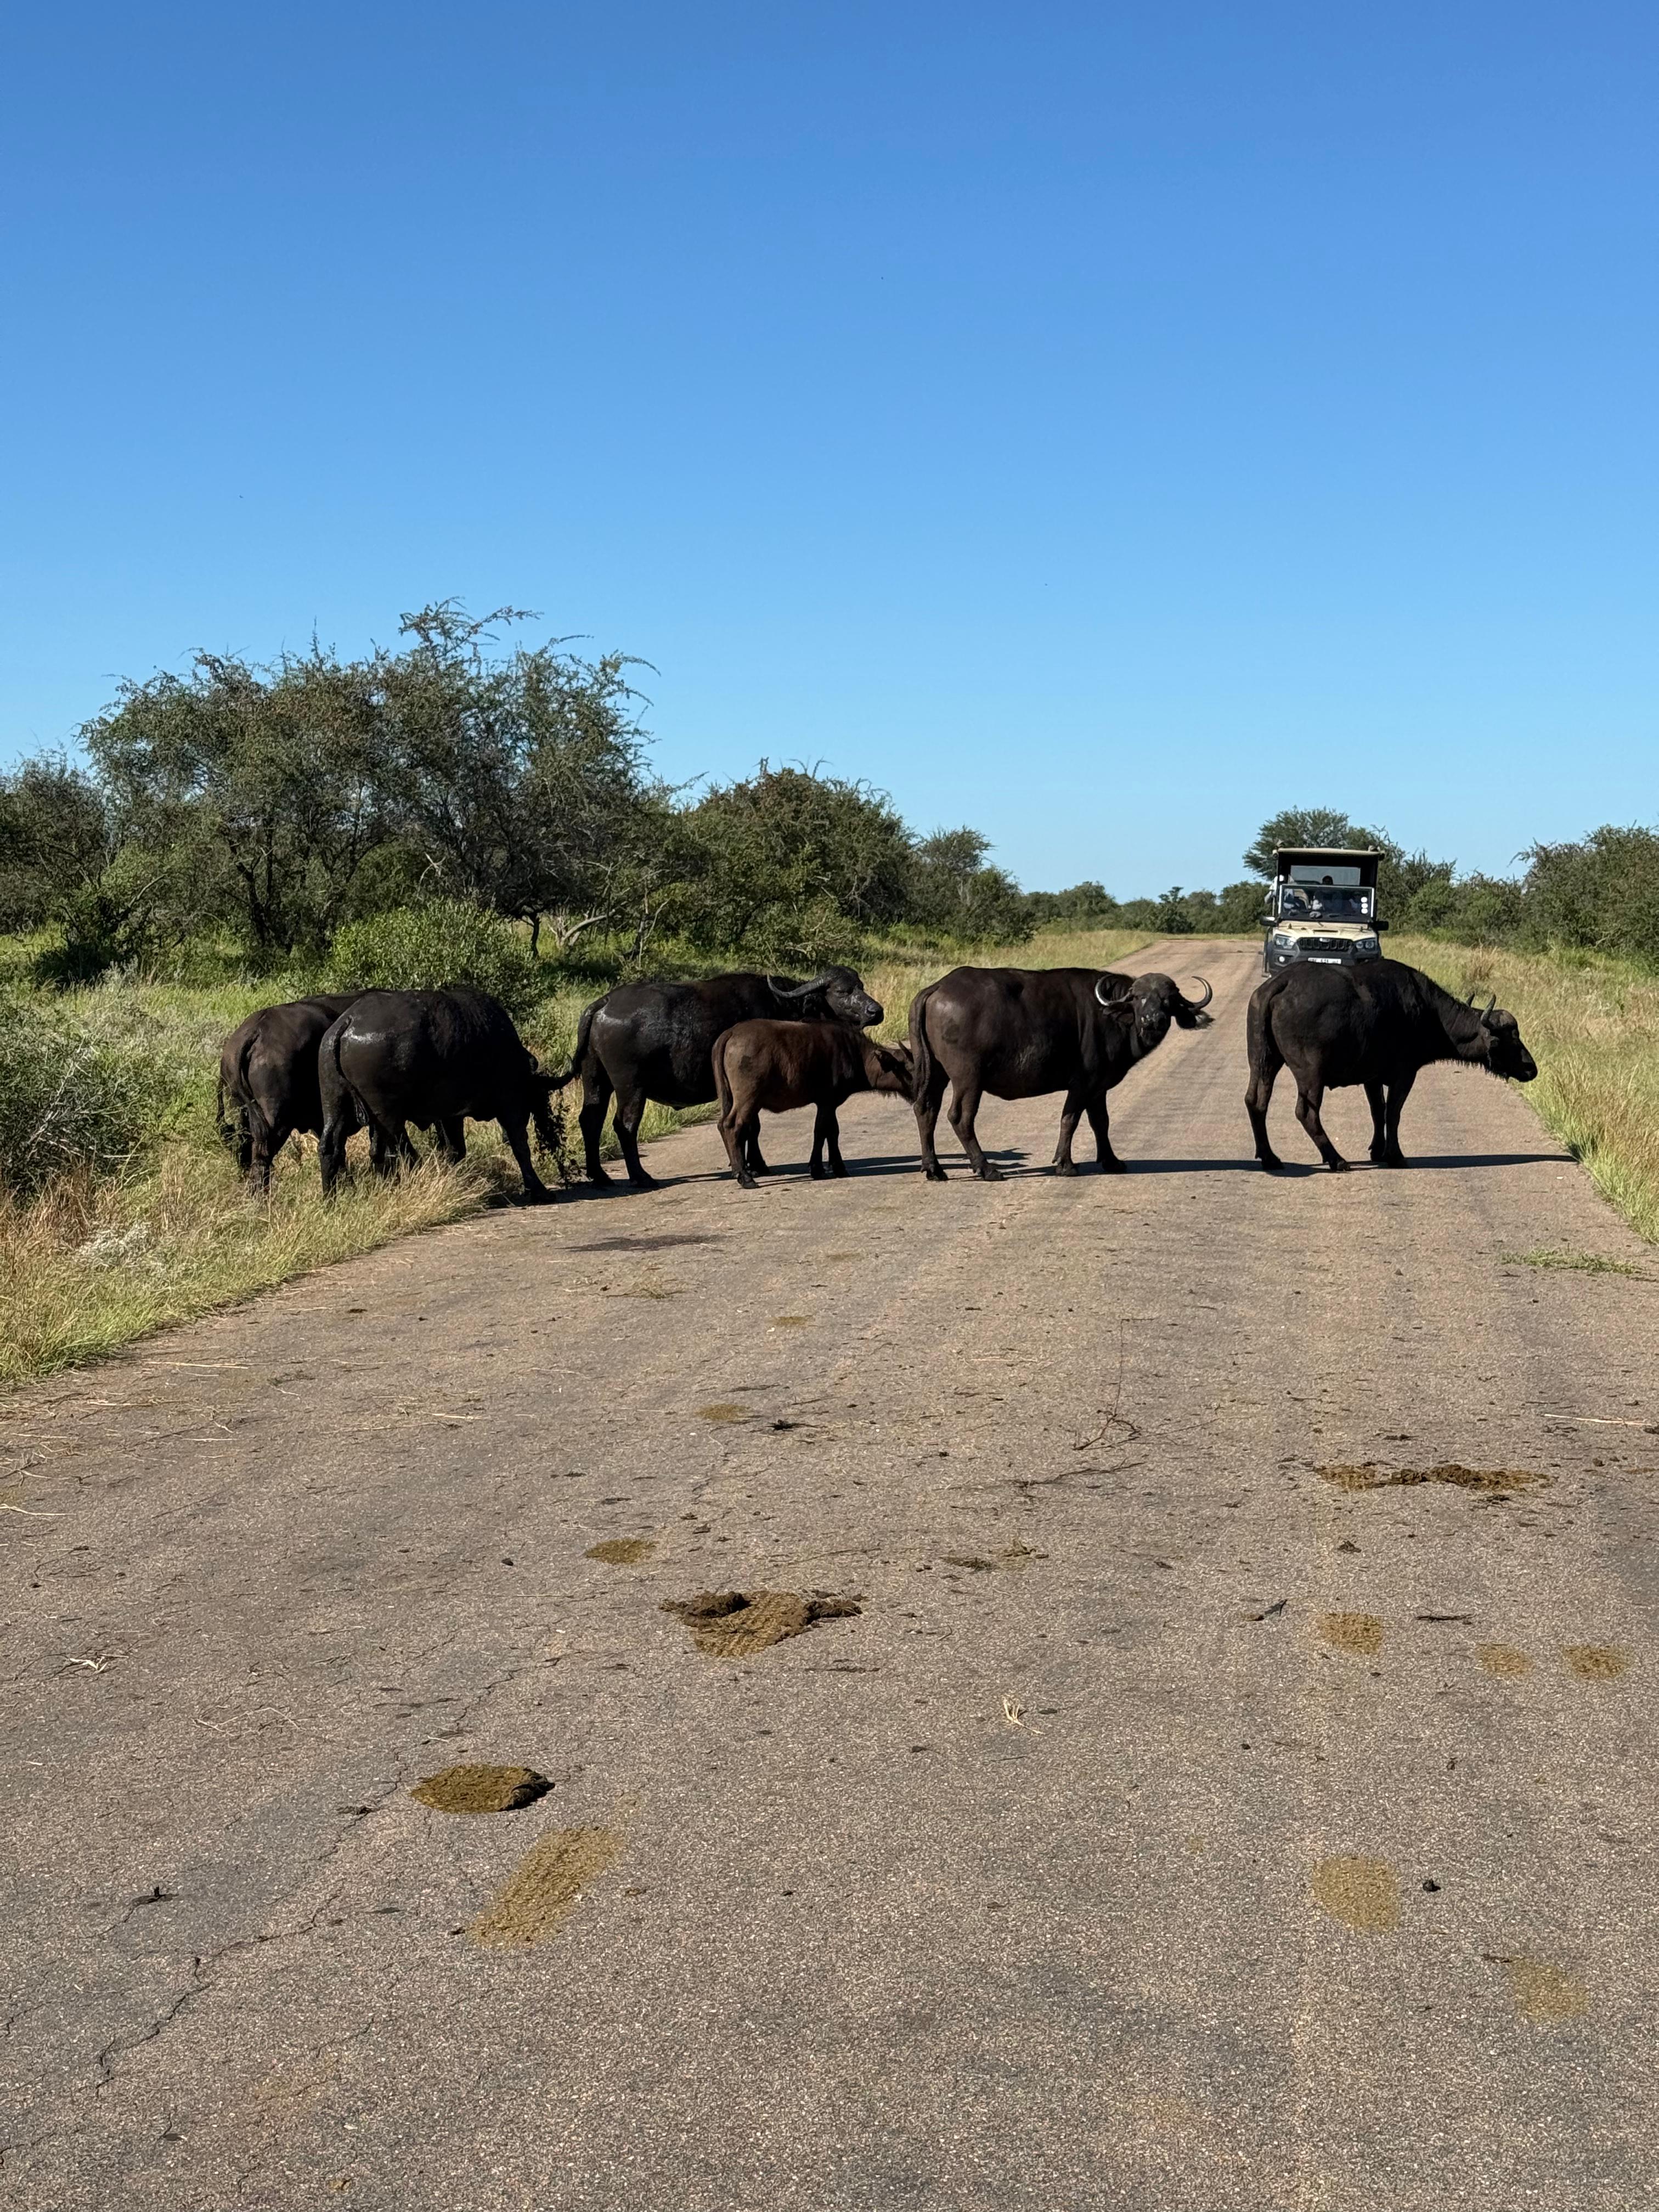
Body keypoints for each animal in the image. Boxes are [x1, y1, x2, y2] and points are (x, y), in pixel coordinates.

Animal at [318, 988, 562, 1203]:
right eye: (534, 1097)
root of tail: (348, 1021)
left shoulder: (449, 1116)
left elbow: (455, 1149)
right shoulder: (510, 1104)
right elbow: (520, 1145)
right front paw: (539, 1191)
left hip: (336, 1104)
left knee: (333, 1148)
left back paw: (332, 1200)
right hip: (386, 1116)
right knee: (390, 1151)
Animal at [555, 968, 883, 1188]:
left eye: (861, 986)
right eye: (842, 991)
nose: (875, 1011)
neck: (782, 1005)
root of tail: (604, 1003)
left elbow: (751, 1126)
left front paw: (752, 1164)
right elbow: (752, 1126)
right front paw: (756, 1166)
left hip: (596, 1080)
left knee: (591, 1119)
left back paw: (600, 1175)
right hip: (630, 1087)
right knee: (624, 1125)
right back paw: (641, 1177)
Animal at [712, 1020, 915, 1189]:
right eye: (910, 1069)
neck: (855, 1055)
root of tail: (731, 1033)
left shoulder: (829, 1105)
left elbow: (832, 1132)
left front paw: (838, 1167)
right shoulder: (827, 1103)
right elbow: (822, 1132)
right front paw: (818, 1169)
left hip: (731, 1097)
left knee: (723, 1124)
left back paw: (738, 1170)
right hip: (748, 1098)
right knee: (733, 1126)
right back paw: (744, 1176)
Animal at [909, 967, 1214, 1180]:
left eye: (1169, 1000)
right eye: (1139, 998)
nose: (1153, 1020)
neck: (1113, 1017)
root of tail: (937, 988)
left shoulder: (1098, 1087)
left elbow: (1101, 1123)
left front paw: (1112, 1161)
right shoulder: (1082, 1083)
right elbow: (1070, 1120)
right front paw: (1066, 1164)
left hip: (935, 1072)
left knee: (926, 1109)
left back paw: (934, 1169)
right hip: (968, 1078)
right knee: (960, 1118)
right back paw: (986, 1169)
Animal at [1245, 957, 1537, 1171]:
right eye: (1511, 1037)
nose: (1531, 1068)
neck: (1430, 1013)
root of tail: (1280, 985)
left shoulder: (1372, 1078)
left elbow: (1378, 1111)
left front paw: (1377, 1150)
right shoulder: (1405, 1074)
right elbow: (1393, 1113)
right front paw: (1395, 1155)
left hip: (1263, 1060)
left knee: (1256, 1101)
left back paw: (1270, 1157)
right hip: (1310, 1072)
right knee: (1306, 1112)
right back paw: (1336, 1159)